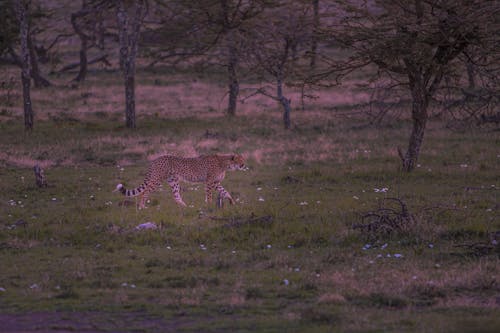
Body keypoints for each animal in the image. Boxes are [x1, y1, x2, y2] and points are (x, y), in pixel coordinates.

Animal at [114, 154, 246, 208]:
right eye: (239, 160)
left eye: (243, 159)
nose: (243, 165)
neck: (225, 163)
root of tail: (156, 159)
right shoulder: (209, 182)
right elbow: (209, 195)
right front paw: (209, 205)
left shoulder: (215, 183)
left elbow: (225, 191)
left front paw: (232, 202)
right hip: (157, 179)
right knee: (145, 192)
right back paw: (142, 207)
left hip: (173, 181)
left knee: (176, 195)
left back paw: (185, 207)